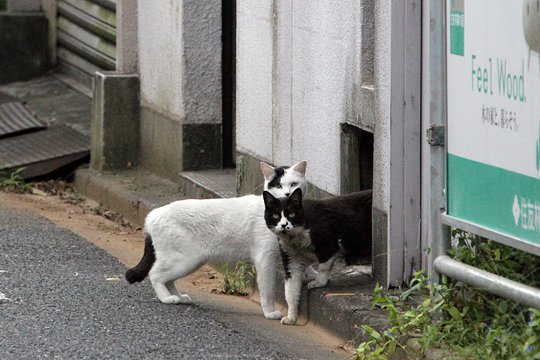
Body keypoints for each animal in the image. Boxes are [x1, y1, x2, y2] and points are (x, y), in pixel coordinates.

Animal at [124, 161, 306, 320]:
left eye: (294, 184)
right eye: (278, 186)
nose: (287, 194)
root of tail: (152, 215)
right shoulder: (265, 258)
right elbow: (267, 290)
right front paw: (270, 312)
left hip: (189, 262)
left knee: (167, 279)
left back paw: (178, 296)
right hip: (183, 260)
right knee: (155, 274)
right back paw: (167, 299)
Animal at [262, 187, 372, 324]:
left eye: (291, 214)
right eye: (275, 215)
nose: (283, 225)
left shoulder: (329, 245)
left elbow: (323, 267)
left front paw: (319, 282)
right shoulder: (291, 260)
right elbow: (290, 290)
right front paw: (291, 317)